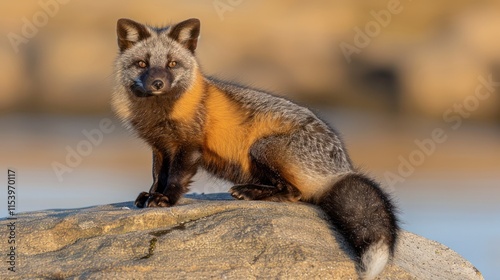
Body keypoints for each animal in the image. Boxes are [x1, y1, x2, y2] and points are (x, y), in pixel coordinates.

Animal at [112, 18, 398, 278]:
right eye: (142, 64)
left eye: (172, 64)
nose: (157, 84)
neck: (159, 114)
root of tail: (341, 168)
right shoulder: (160, 147)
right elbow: (157, 176)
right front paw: (150, 196)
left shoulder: (188, 147)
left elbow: (174, 179)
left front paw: (166, 200)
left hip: (262, 148)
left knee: (294, 194)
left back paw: (249, 192)